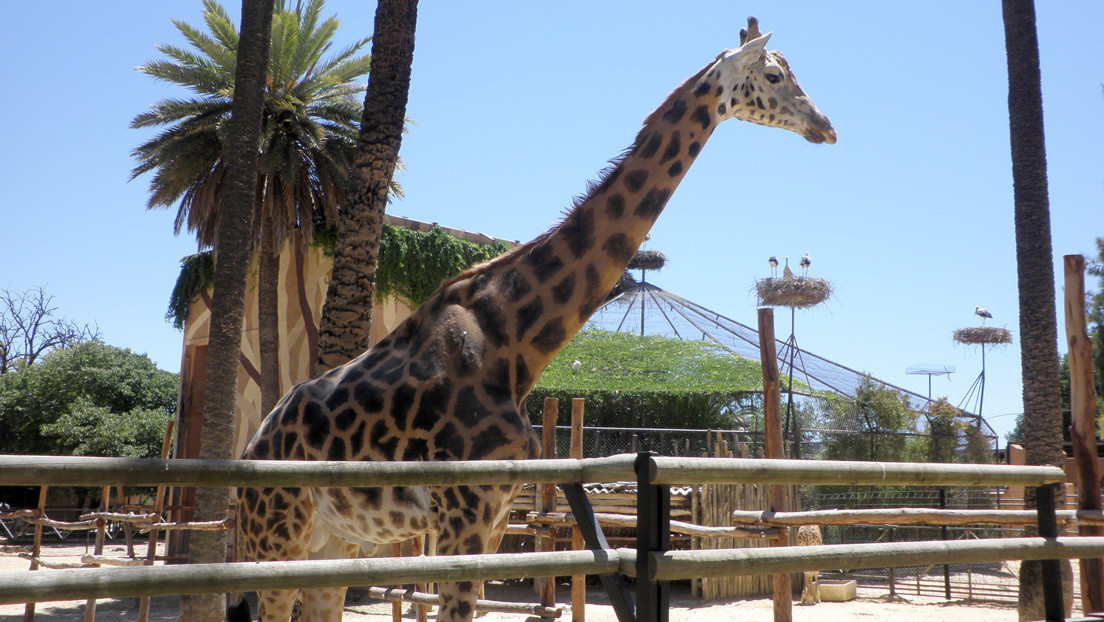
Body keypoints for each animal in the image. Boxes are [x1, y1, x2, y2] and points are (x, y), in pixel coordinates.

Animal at [235, 17, 834, 618]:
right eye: (774, 76)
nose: (826, 126)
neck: (513, 344)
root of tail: (249, 451)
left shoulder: (496, 516)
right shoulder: (464, 512)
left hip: (333, 542)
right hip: (276, 536)